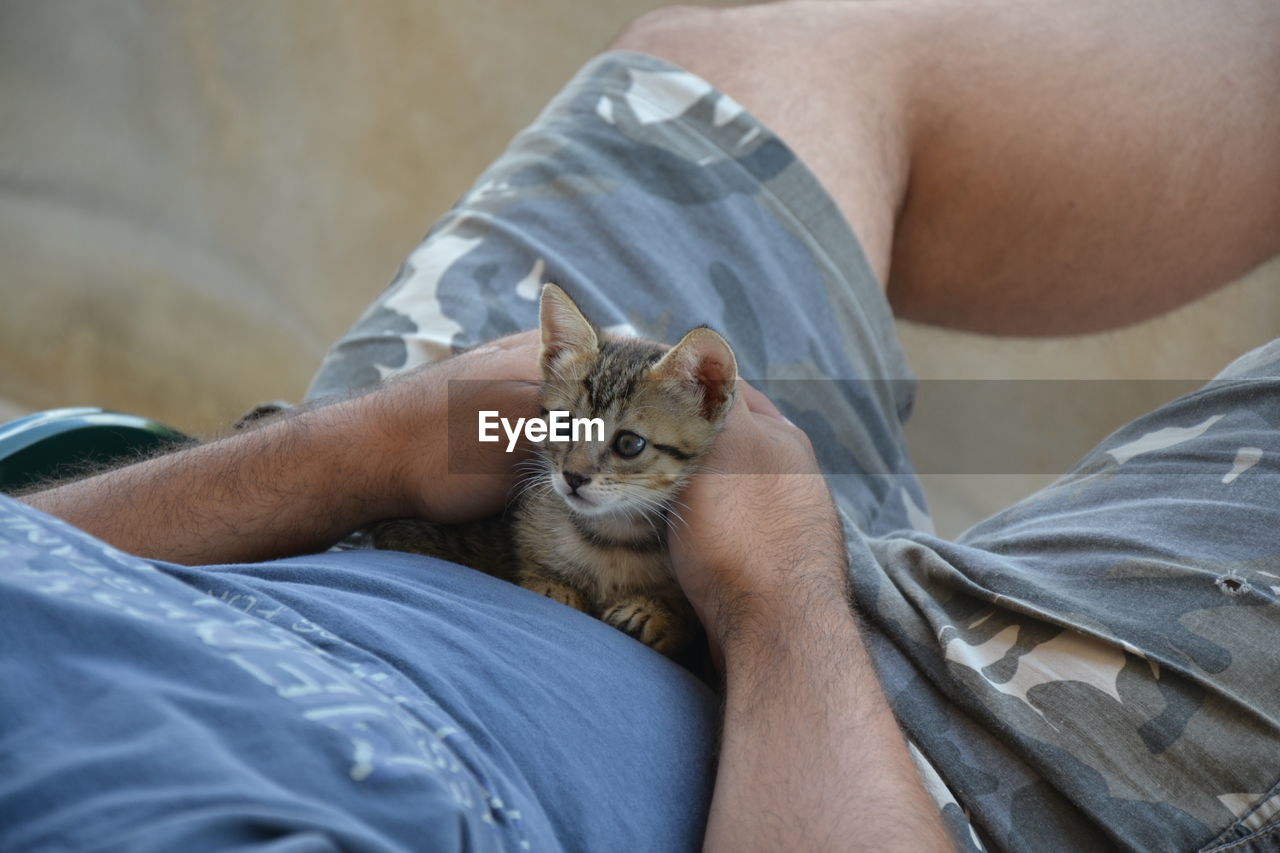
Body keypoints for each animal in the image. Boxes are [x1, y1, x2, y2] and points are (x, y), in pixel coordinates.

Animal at [371, 280, 737, 655]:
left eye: (629, 444)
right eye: (564, 425)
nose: (573, 477)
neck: (612, 537)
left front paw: (657, 616)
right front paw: (552, 586)